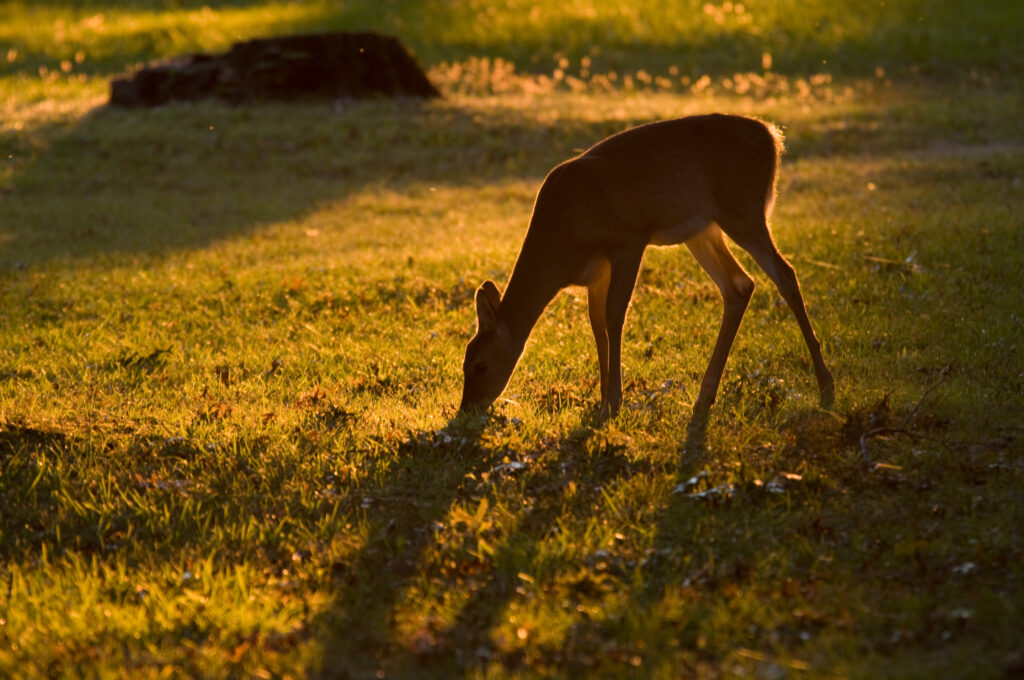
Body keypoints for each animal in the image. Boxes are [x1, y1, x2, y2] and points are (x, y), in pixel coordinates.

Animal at [458, 114, 835, 422]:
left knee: (785, 274)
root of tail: (772, 136)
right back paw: (705, 397)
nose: (466, 411)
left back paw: (826, 385)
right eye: (464, 360)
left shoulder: (628, 241)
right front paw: (601, 400)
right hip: (703, 228)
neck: (563, 242)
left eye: (480, 366)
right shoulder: (597, 271)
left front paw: (612, 403)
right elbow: (596, 322)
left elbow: (614, 315)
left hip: (743, 210)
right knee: (739, 285)